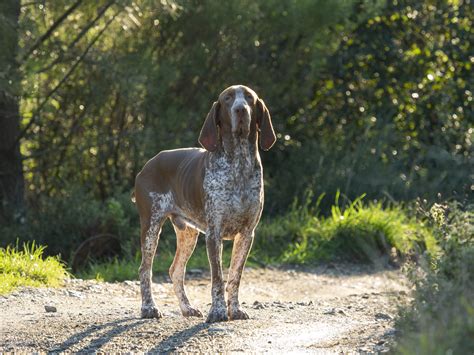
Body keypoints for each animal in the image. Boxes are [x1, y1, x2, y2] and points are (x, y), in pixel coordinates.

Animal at [133, 85, 276, 322]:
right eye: (227, 99)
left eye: (249, 98)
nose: (240, 109)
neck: (239, 163)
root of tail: (147, 165)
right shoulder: (213, 233)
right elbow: (217, 278)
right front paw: (217, 311)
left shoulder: (247, 234)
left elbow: (234, 277)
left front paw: (235, 310)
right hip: (151, 227)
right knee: (145, 269)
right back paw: (149, 308)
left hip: (188, 234)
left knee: (175, 271)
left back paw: (187, 308)